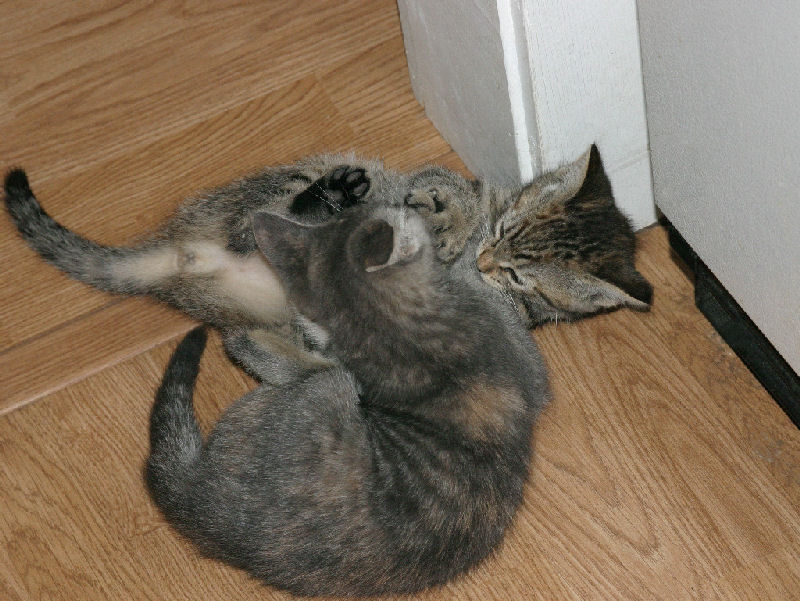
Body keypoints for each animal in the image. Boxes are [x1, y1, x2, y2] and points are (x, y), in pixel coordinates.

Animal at [145, 203, 548, 596]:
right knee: (301, 368)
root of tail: (201, 504)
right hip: (328, 389)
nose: (405, 203)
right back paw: (253, 340)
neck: (396, 338)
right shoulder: (516, 351)